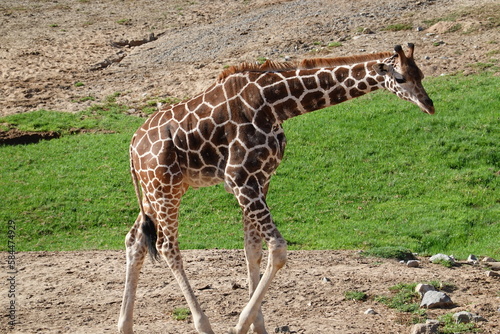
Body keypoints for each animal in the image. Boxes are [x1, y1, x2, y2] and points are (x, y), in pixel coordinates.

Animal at [117, 43, 434, 334]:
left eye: (421, 73)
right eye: (401, 78)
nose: (428, 104)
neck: (274, 104)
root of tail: (132, 145)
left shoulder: (261, 178)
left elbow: (253, 249)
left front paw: (257, 325)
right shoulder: (239, 178)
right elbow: (278, 249)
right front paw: (241, 324)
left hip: (157, 190)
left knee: (135, 240)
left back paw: (125, 326)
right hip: (164, 188)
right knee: (167, 246)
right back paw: (203, 325)